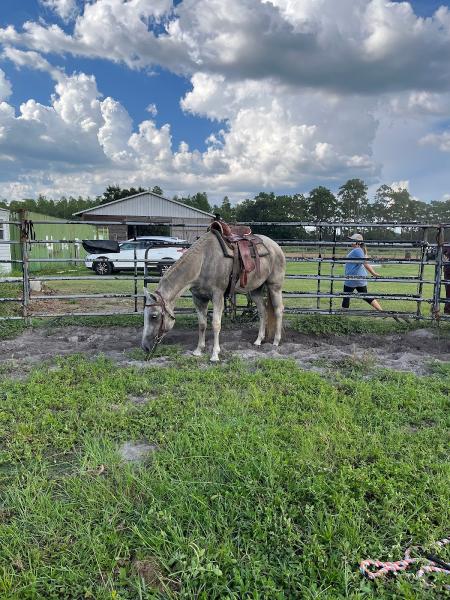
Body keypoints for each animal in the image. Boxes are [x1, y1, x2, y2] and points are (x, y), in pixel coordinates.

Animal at [142, 227, 286, 360]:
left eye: (154, 316)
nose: (145, 347)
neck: (202, 262)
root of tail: (275, 246)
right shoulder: (199, 298)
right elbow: (202, 324)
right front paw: (198, 350)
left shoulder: (217, 296)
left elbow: (216, 324)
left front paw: (215, 355)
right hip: (255, 291)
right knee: (262, 312)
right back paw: (258, 341)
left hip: (274, 286)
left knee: (279, 310)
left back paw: (276, 341)